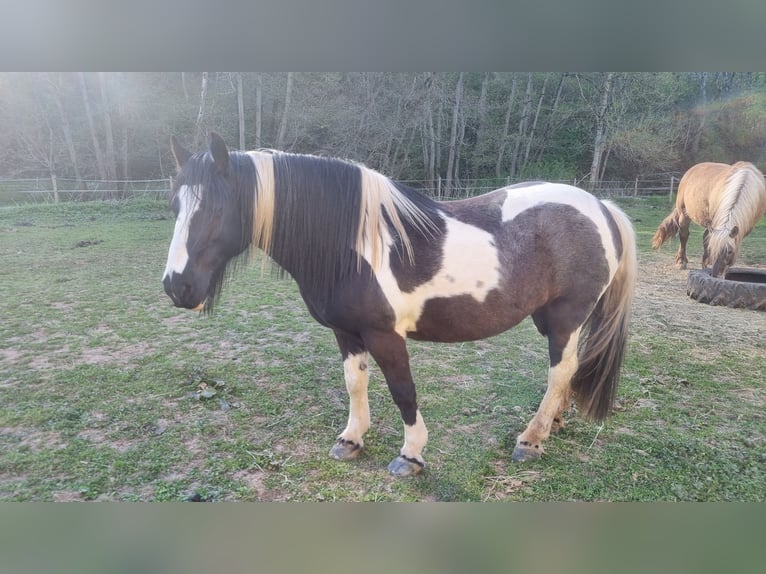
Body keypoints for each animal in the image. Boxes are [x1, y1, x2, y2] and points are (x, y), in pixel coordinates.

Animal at [162, 132, 637, 477]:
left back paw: (531, 440)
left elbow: (402, 390)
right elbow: (355, 383)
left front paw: (410, 455)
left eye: (217, 208)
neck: (350, 245)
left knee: (561, 370)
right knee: (566, 374)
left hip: (565, 318)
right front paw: (351, 440)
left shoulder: (384, 335)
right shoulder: (346, 332)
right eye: (175, 205)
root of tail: (600, 206)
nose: (176, 286)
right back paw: (553, 424)